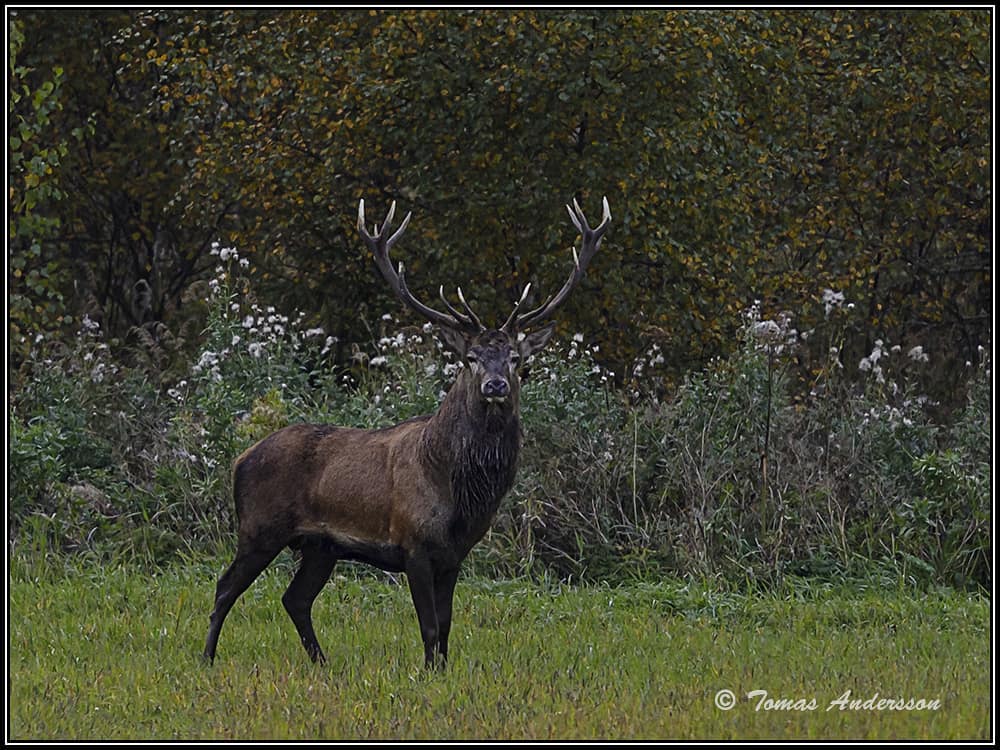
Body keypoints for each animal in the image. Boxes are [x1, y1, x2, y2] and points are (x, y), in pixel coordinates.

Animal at [202, 195, 608, 668]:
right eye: (470, 357)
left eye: (514, 358)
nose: (495, 385)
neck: (459, 492)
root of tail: (239, 460)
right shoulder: (413, 544)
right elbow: (429, 626)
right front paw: (428, 672)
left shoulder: (454, 555)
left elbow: (446, 627)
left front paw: (443, 670)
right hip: (259, 527)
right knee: (225, 587)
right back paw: (207, 658)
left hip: (320, 546)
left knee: (295, 598)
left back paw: (322, 662)